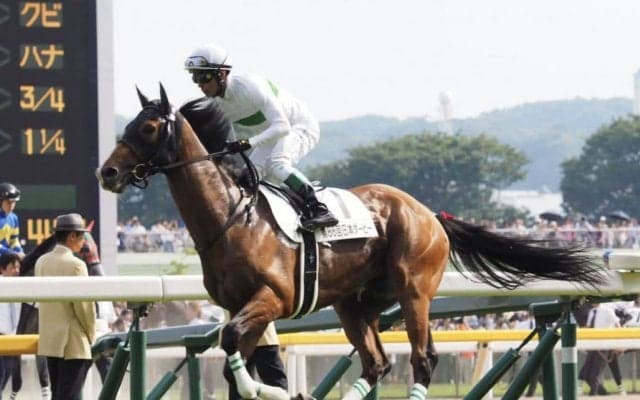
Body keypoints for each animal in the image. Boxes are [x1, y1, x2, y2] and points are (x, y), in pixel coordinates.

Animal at [97, 84, 604, 400]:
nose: (108, 172)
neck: (233, 219)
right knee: (377, 363)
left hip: (414, 290)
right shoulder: (241, 305)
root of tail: (430, 214)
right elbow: (232, 358)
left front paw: (277, 390)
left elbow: (233, 346)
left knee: (422, 358)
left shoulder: (273, 298)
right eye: (128, 126)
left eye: (147, 128)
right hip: (355, 303)